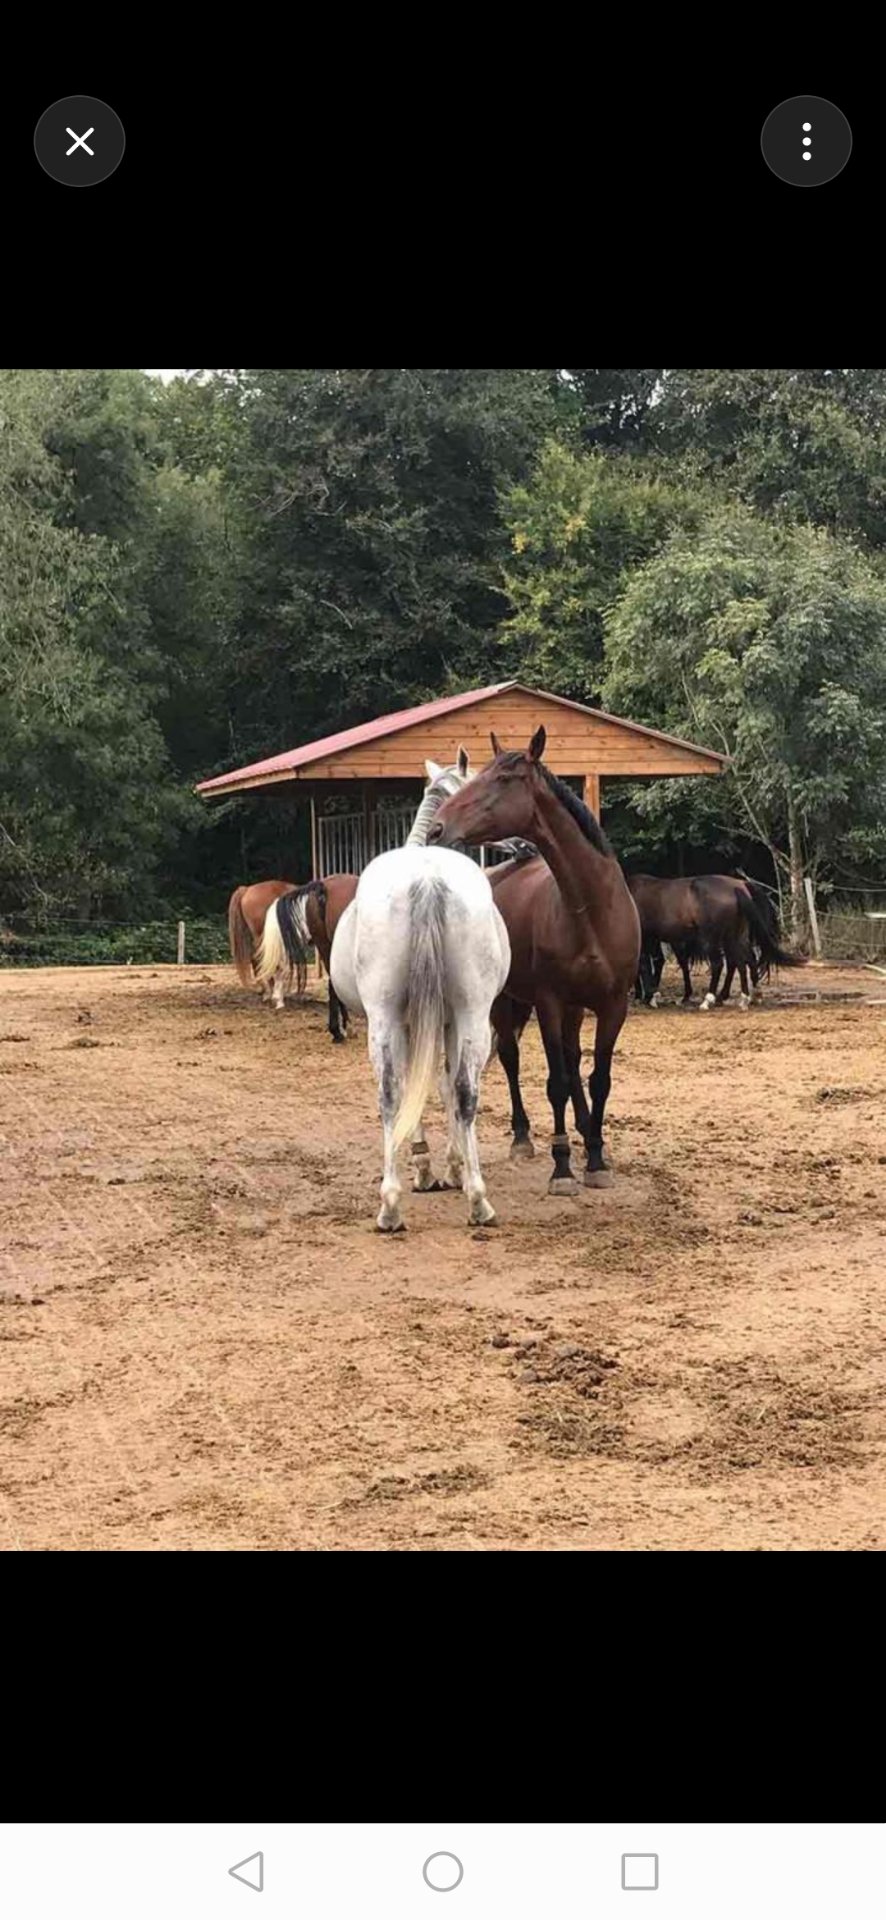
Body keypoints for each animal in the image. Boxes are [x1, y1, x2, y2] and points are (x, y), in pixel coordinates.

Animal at [428, 726, 641, 1195]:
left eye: (503, 780)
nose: (437, 828)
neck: (590, 909)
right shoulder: (549, 1003)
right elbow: (556, 1082)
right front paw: (562, 1168)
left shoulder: (613, 1005)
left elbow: (598, 1079)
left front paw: (595, 1158)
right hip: (504, 1002)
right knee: (511, 1058)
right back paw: (523, 1137)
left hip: (575, 1008)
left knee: (573, 1058)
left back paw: (587, 1132)